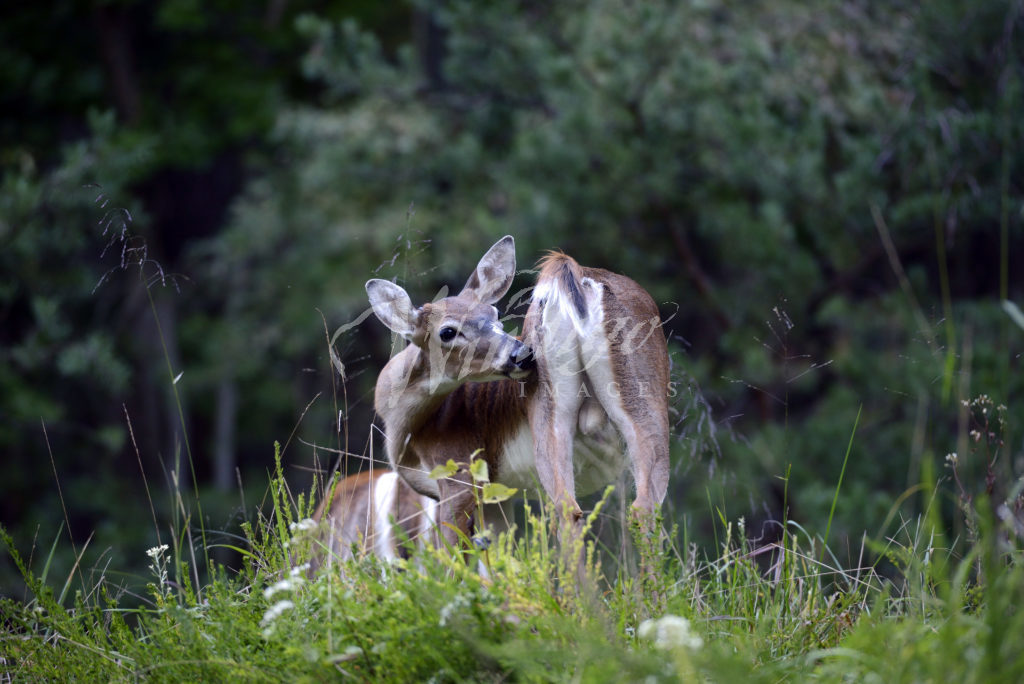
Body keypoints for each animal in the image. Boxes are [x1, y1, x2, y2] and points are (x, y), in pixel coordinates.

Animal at [361, 235, 670, 559]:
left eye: (494, 315)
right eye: (447, 332)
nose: (522, 353)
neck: (406, 429)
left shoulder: (459, 469)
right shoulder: (495, 494)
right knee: (631, 507)